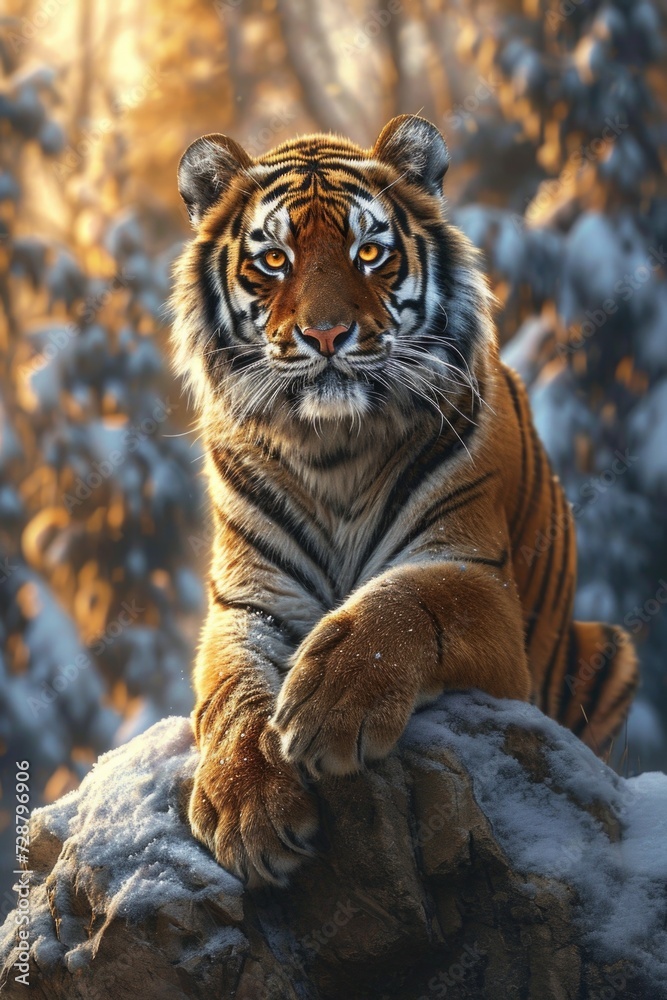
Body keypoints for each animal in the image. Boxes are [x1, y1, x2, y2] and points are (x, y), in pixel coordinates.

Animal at [170, 114, 639, 888]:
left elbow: (405, 603)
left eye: (368, 252)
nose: (326, 335)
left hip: (611, 649)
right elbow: (233, 695)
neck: (331, 446)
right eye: (274, 260)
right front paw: (246, 807)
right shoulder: (248, 601)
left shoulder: (476, 578)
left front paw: (331, 703)